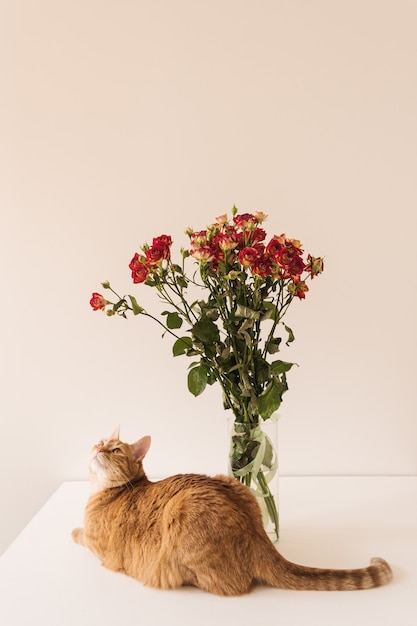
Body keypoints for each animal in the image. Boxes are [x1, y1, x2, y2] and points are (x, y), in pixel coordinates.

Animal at [71, 428, 390, 596]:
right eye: (99, 442)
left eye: (115, 450)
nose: (98, 448)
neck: (107, 489)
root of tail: (258, 535)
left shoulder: (98, 546)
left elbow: (80, 534)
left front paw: (73, 530)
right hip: (231, 482)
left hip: (181, 511)